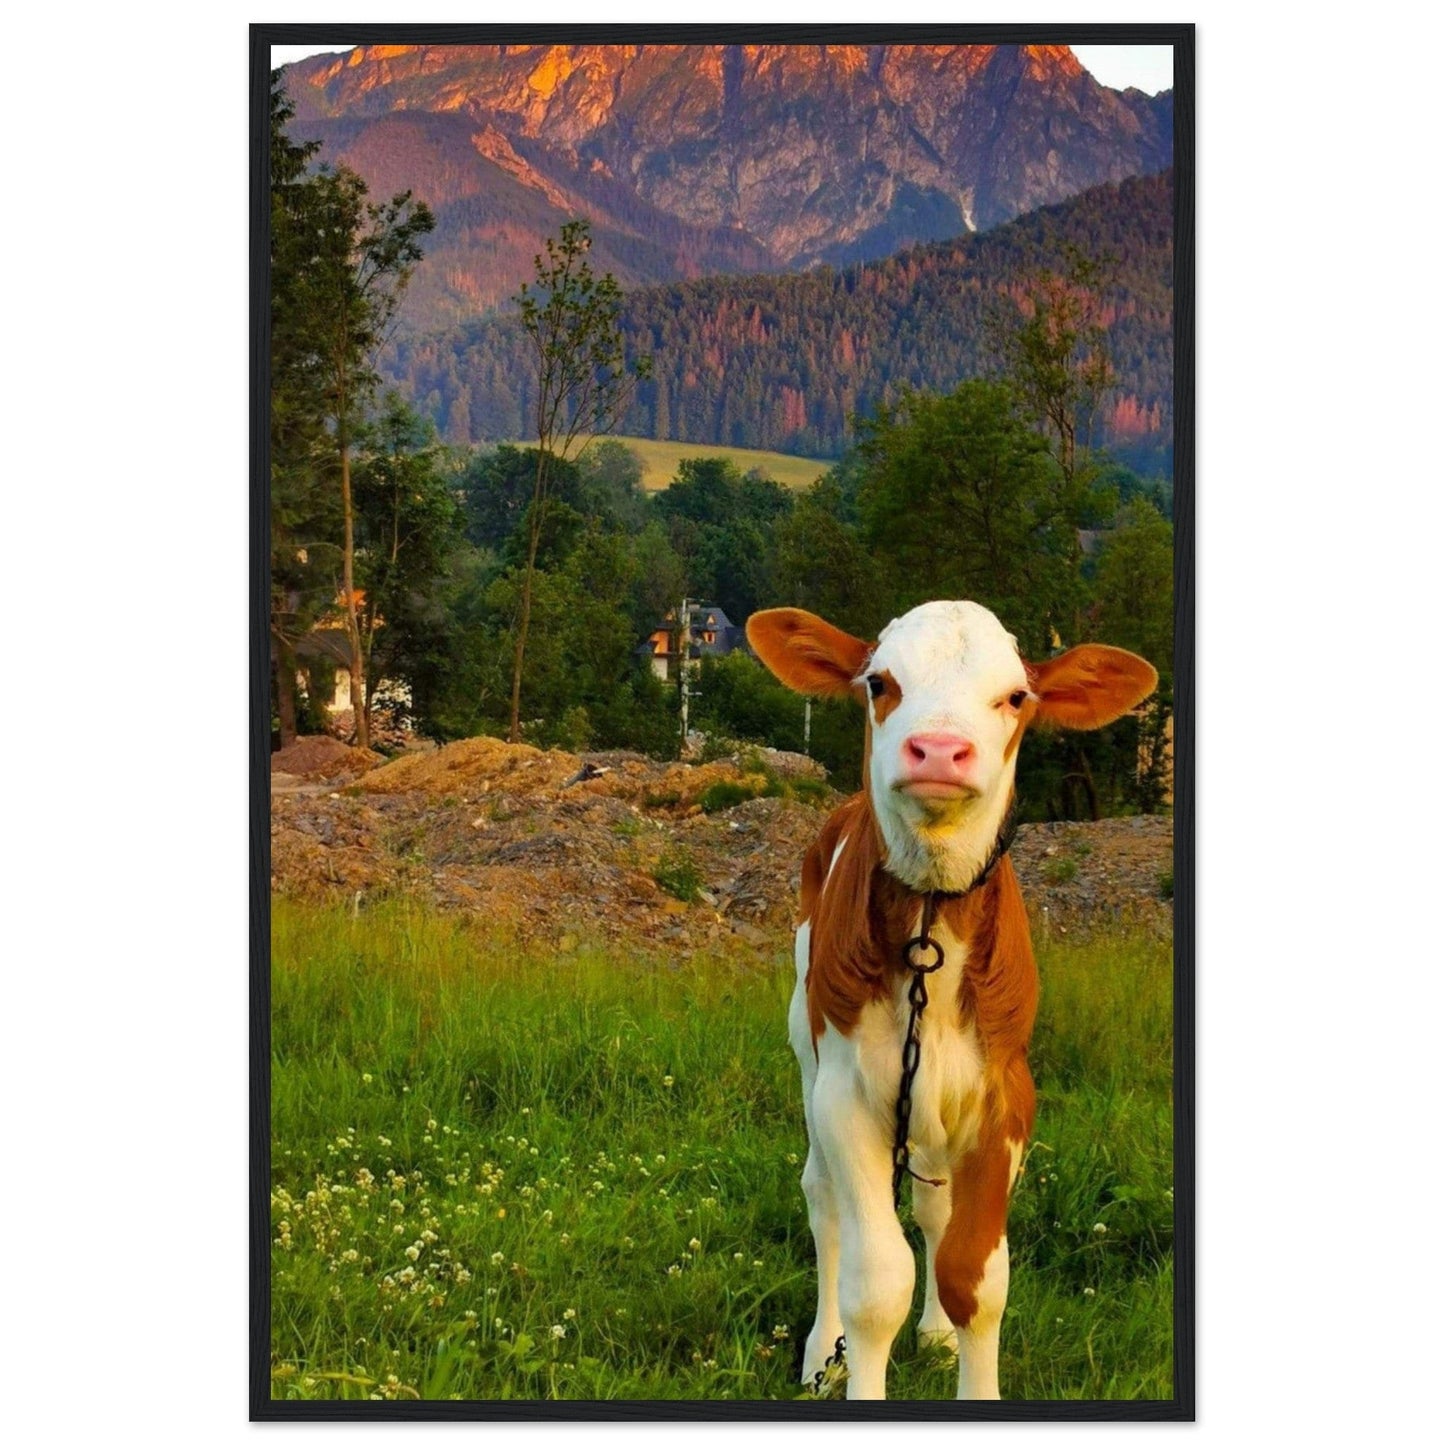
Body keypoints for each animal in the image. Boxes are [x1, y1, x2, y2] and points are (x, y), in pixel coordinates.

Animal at [745, 600, 1157, 1401]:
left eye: (1015, 696)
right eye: (879, 683)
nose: (938, 750)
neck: (931, 919)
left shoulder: (1004, 1094)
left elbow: (975, 1276)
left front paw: (952, 1335)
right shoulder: (845, 1093)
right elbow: (877, 1285)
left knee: (933, 1209)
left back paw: (933, 1332)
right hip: (805, 1044)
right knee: (822, 1197)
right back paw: (819, 1352)